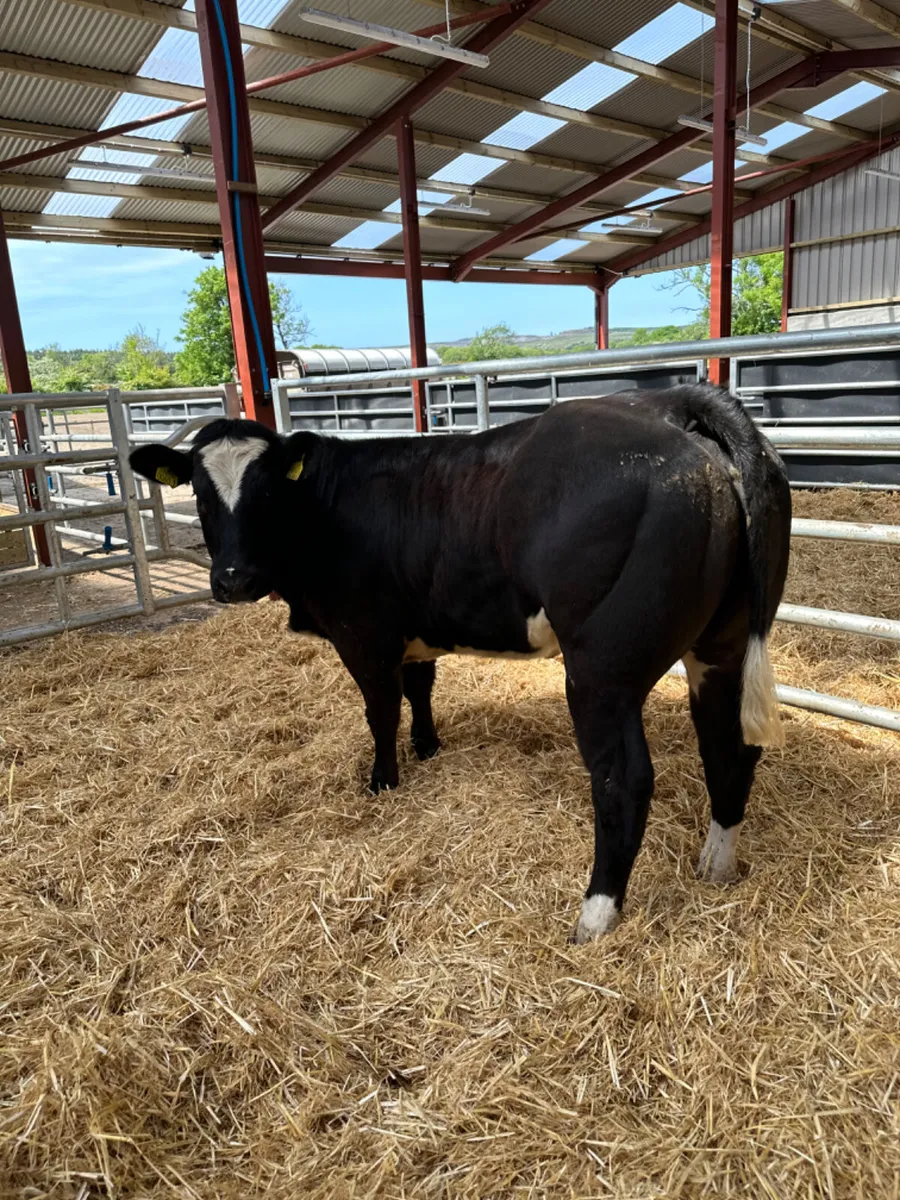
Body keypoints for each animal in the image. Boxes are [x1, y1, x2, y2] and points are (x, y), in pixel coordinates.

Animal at [130, 385, 791, 943]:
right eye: (198, 493)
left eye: (267, 492)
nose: (233, 580)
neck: (326, 510)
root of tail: (667, 405)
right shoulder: (415, 628)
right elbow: (420, 687)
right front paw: (427, 746)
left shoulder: (363, 635)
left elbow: (381, 710)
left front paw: (383, 779)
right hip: (723, 644)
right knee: (729, 748)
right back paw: (716, 864)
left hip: (604, 671)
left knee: (623, 780)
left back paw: (595, 916)